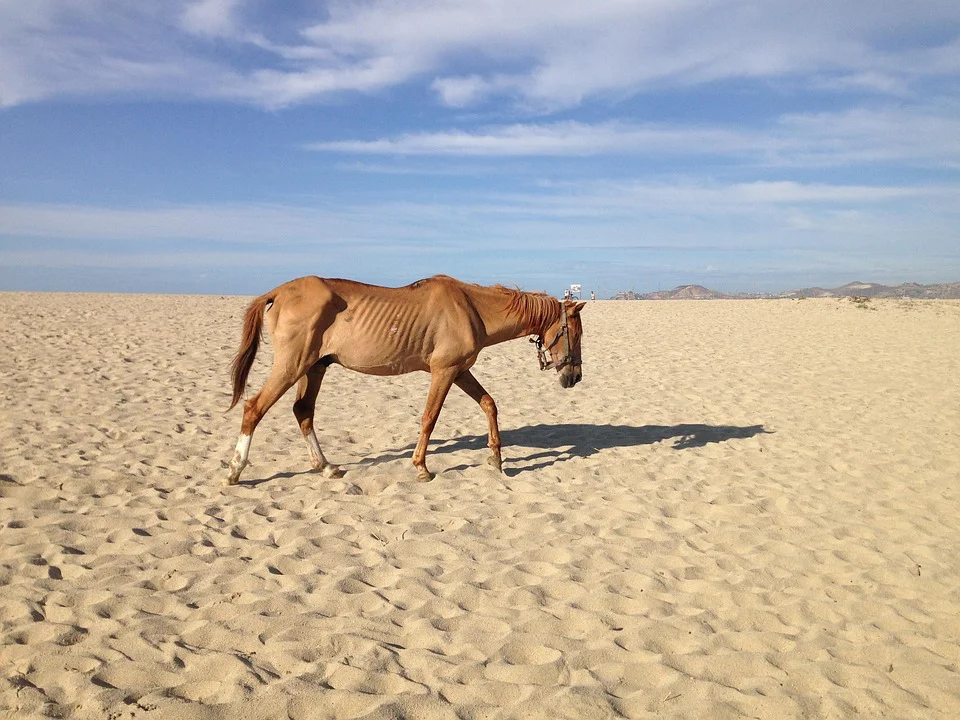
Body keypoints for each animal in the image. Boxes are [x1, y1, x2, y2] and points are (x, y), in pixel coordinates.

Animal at [226, 275, 585, 485]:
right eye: (577, 334)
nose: (575, 377)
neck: (472, 308)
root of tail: (277, 292)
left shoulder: (460, 370)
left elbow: (489, 404)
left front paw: (495, 458)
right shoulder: (444, 371)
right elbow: (429, 418)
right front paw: (421, 467)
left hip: (314, 367)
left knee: (303, 412)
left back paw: (326, 466)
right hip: (292, 366)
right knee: (254, 409)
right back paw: (235, 470)